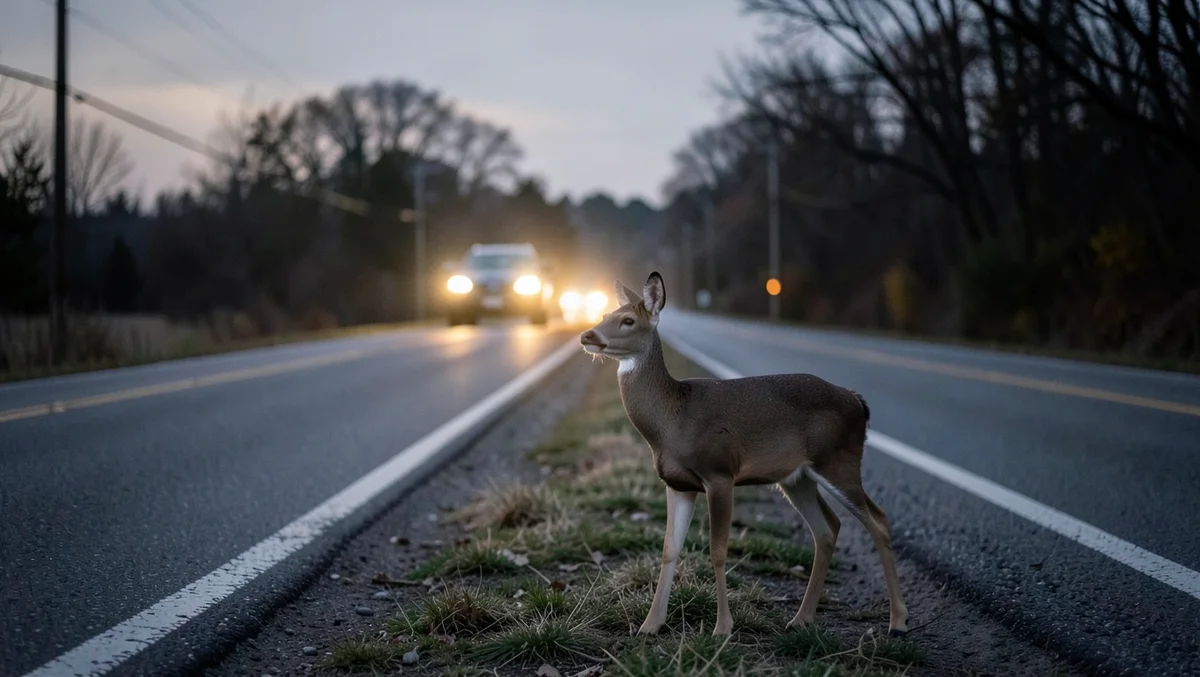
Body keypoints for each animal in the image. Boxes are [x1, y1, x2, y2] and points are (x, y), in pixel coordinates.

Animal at [579, 271, 908, 638]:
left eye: (627, 320)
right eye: (605, 315)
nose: (587, 335)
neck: (672, 420)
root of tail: (858, 402)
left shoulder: (720, 471)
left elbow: (718, 550)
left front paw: (722, 627)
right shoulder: (677, 483)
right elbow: (669, 549)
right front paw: (651, 624)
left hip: (838, 460)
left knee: (877, 520)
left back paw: (897, 621)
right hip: (798, 478)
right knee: (827, 528)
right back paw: (801, 618)